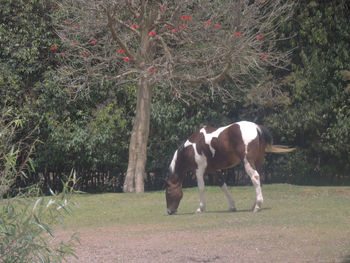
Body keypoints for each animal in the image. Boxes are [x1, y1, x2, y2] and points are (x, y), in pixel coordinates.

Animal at [165, 120, 296, 216]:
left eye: (168, 192)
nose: (169, 211)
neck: (191, 147)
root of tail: (256, 127)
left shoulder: (198, 170)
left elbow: (201, 188)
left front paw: (200, 208)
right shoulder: (214, 170)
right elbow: (223, 185)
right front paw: (232, 206)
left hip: (248, 161)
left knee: (255, 177)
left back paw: (257, 206)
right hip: (258, 162)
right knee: (259, 180)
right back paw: (255, 205)